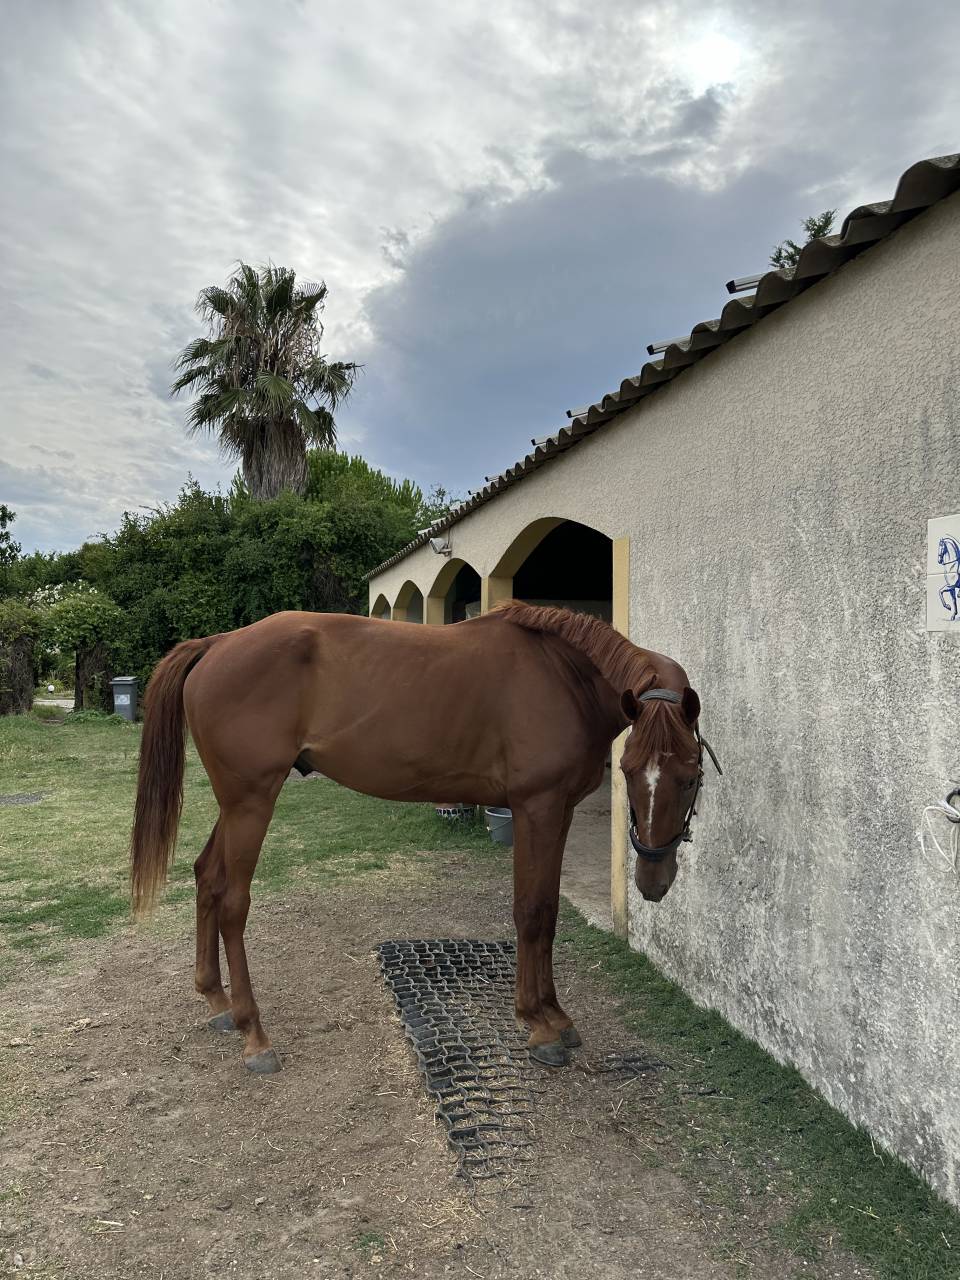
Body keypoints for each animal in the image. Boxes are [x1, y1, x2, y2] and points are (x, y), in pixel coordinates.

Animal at [130, 601, 719, 1073]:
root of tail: (218, 644)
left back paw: (217, 1002)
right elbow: (531, 912)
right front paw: (539, 1024)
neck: (562, 676)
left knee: (207, 877)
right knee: (232, 902)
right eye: (630, 771)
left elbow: (548, 911)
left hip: (235, 805)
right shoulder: (538, 809)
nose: (653, 879)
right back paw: (254, 1034)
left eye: (689, 775)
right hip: (252, 802)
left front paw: (556, 1014)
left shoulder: (559, 813)